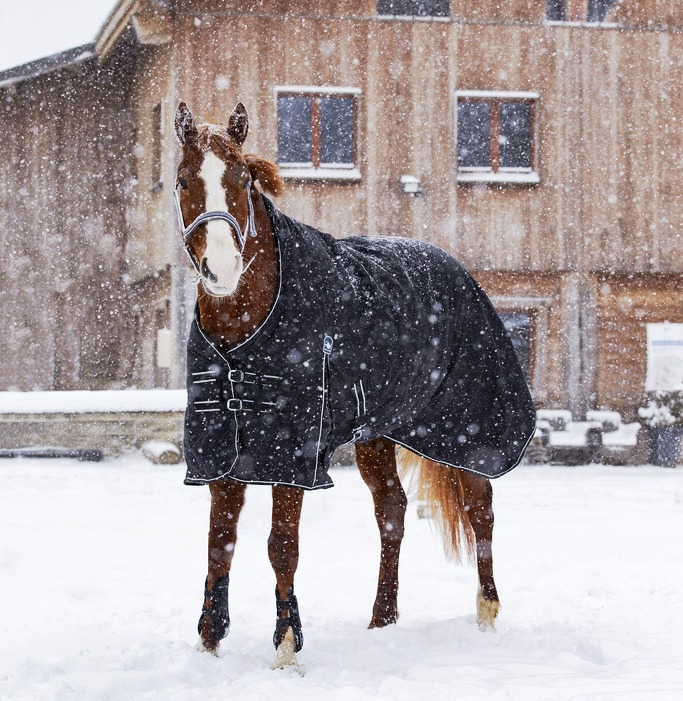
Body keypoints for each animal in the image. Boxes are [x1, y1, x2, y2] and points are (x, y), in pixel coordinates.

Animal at [176, 101, 520, 664]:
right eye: (184, 180)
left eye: (243, 179)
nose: (222, 267)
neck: (246, 325)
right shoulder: (221, 444)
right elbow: (218, 542)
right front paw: (209, 642)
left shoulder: (293, 452)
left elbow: (281, 546)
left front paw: (286, 647)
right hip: (375, 435)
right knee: (392, 512)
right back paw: (382, 619)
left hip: (466, 431)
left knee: (481, 511)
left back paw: (487, 617)